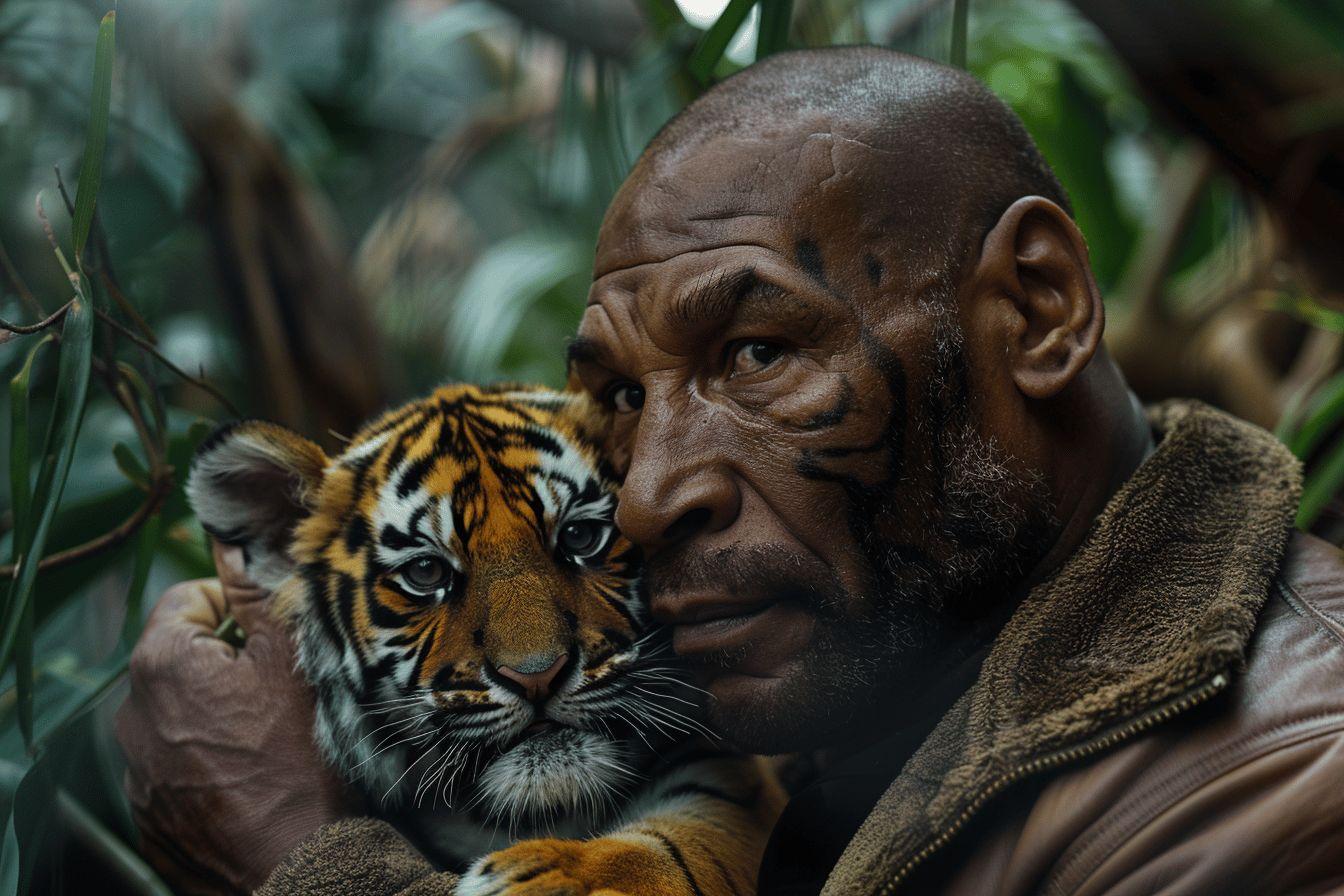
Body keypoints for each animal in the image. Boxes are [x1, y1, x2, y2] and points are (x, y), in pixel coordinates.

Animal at [186, 383, 785, 896]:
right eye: (425, 572)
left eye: (580, 537)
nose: (537, 676)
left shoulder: (722, 782)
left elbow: (675, 849)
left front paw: (551, 877)